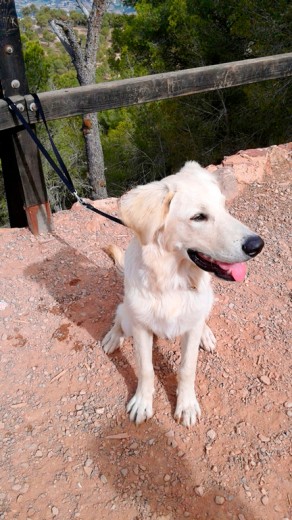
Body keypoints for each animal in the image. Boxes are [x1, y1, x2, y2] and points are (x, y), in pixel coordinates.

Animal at [101, 162, 264, 426]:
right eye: (198, 217)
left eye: (224, 206)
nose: (257, 245)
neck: (172, 282)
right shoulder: (141, 328)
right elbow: (145, 368)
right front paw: (142, 403)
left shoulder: (190, 329)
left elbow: (187, 368)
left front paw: (186, 405)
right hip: (128, 314)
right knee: (119, 315)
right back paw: (114, 337)